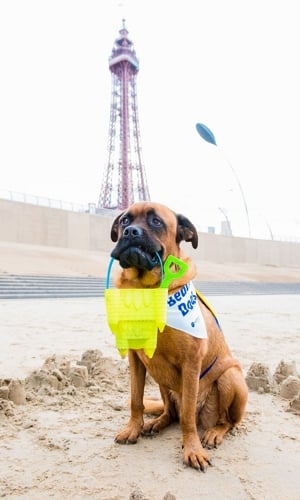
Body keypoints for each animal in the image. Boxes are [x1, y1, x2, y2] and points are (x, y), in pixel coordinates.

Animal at [109, 201, 247, 470]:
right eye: (124, 221)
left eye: (156, 222)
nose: (130, 232)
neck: (146, 290)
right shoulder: (135, 358)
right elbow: (135, 400)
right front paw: (133, 428)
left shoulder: (191, 362)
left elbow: (187, 418)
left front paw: (192, 449)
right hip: (160, 377)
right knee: (171, 413)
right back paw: (156, 423)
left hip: (231, 377)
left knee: (225, 421)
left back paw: (213, 432)